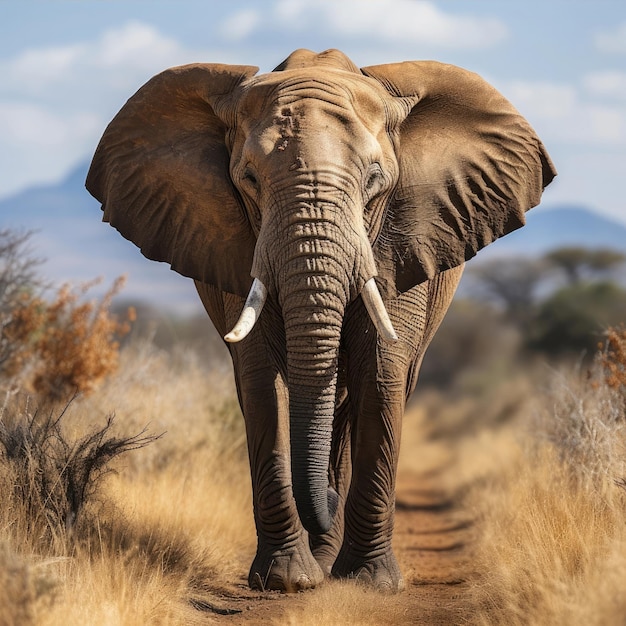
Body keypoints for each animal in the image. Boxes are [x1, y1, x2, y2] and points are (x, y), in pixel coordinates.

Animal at [84, 47, 556, 588]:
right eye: (249, 180)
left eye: (374, 180)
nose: (325, 503)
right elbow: (261, 380)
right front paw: (286, 580)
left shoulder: (404, 243)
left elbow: (382, 373)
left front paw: (371, 582)